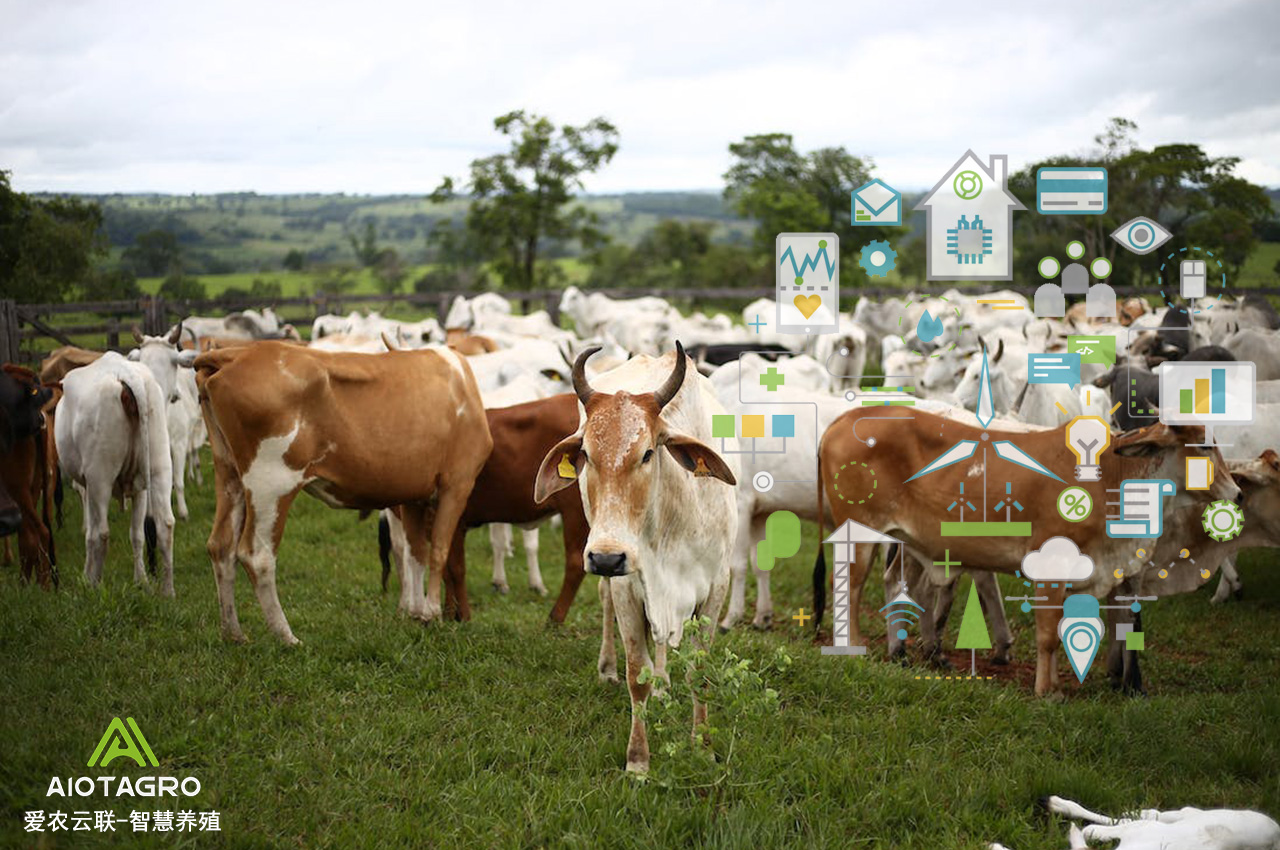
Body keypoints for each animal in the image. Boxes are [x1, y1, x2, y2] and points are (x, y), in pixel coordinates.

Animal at [56, 348, 177, 593]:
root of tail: (126, 374)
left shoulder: (88, 486)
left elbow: (90, 533)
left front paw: (86, 576)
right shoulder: (140, 490)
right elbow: (137, 535)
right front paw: (141, 581)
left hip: (100, 477)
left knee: (102, 533)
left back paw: (95, 586)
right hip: (159, 467)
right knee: (165, 525)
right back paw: (167, 591)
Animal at [197, 340, 491, 645]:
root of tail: (238, 353)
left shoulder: (414, 495)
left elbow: (417, 553)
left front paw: (417, 613)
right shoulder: (457, 483)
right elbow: (439, 551)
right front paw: (432, 613)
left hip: (229, 474)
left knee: (221, 546)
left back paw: (233, 633)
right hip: (270, 483)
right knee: (257, 556)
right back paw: (287, 637)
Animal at [819, 409, 1239, 696]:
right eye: (1203, 445)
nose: (1236, 492)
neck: (1114, 474)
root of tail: (841, 421)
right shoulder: (1051, 566)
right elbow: (1048, 635)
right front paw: (1046, 691)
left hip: (908, 541)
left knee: (896, 585)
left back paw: (901, 653)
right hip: (858, 533)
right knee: (850, 588)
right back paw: (853, 647)